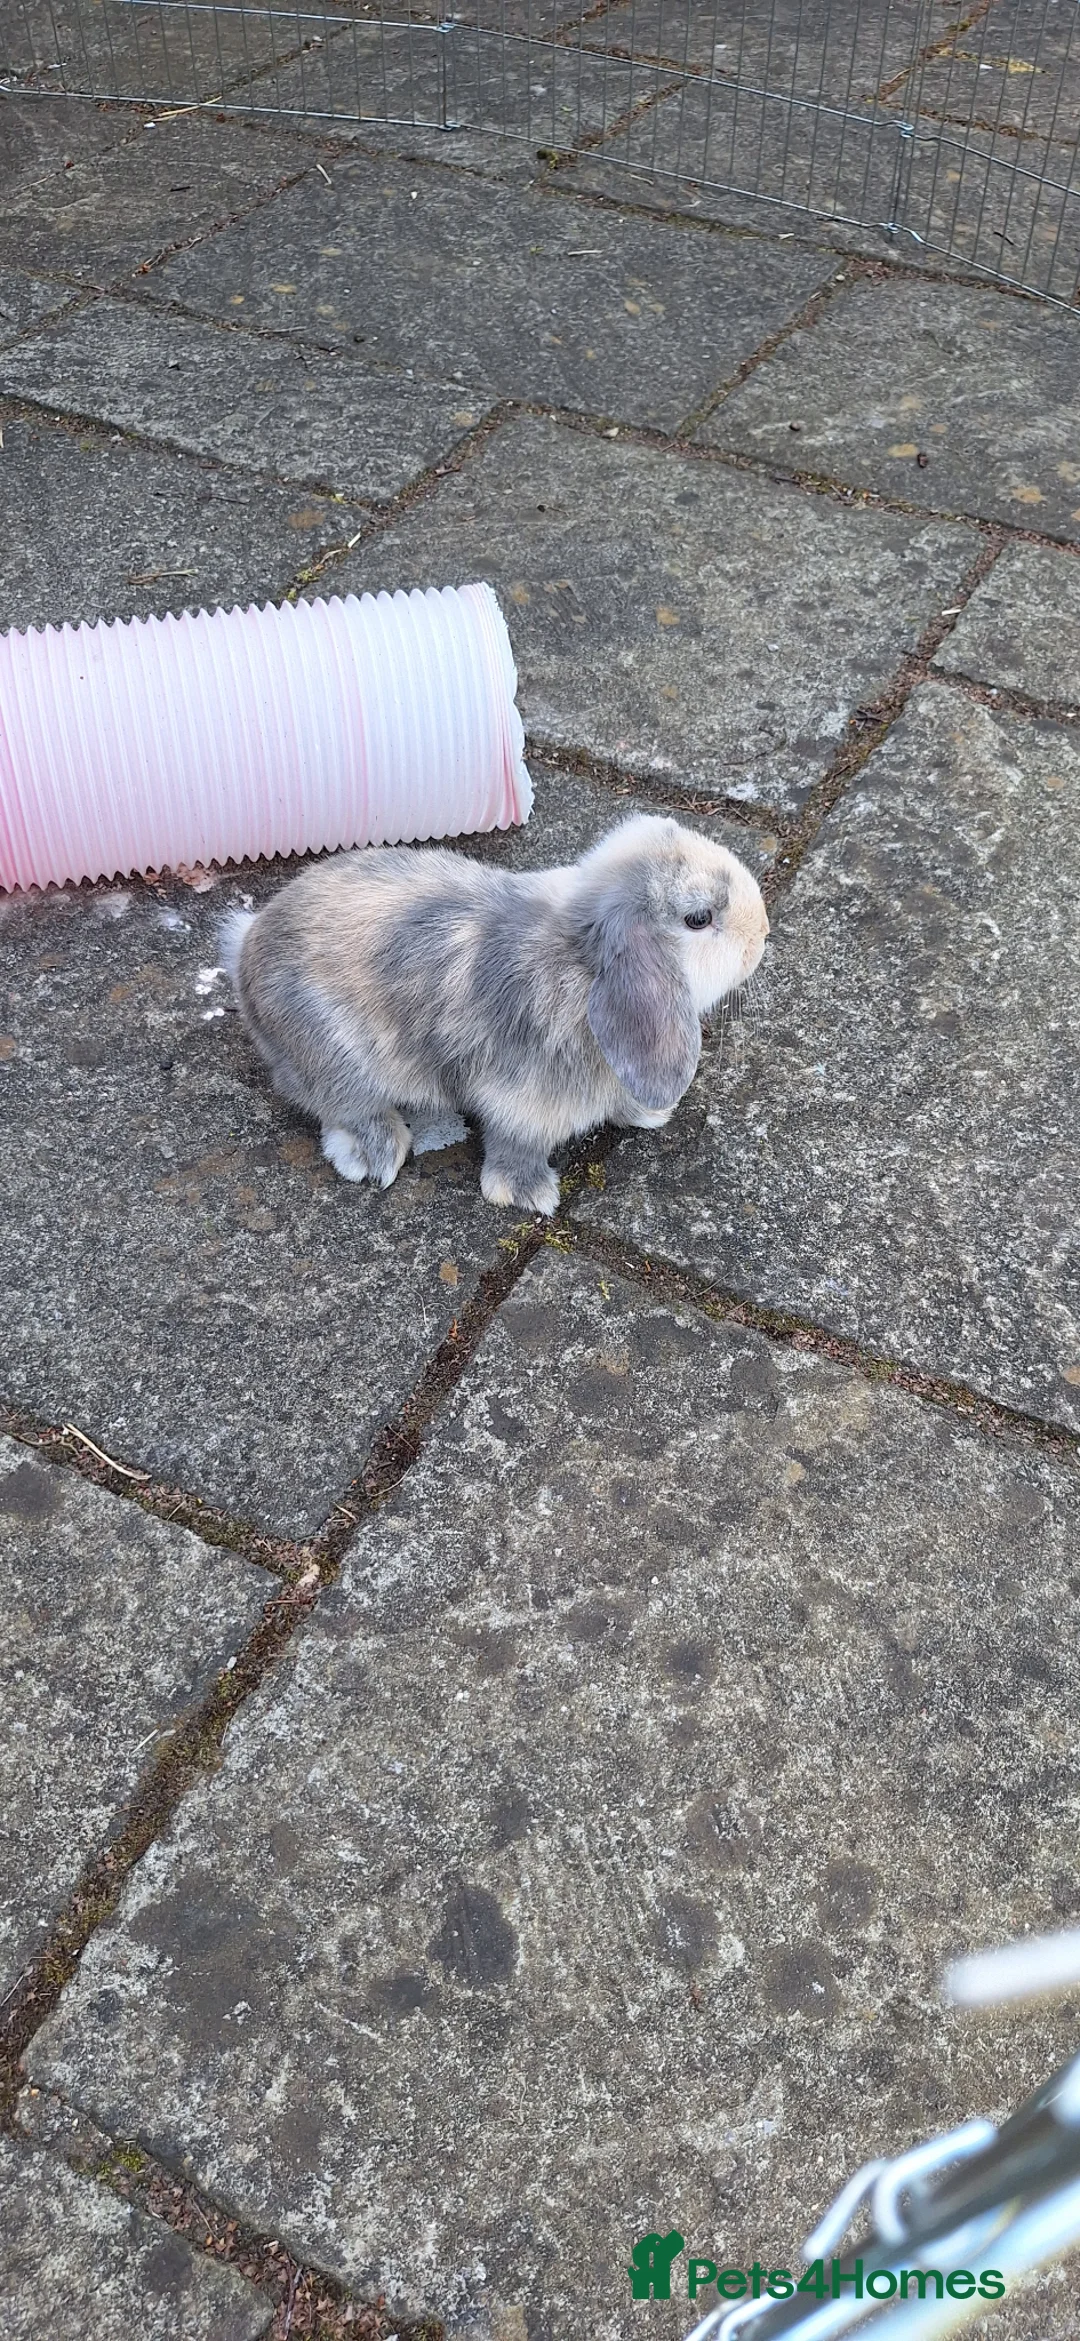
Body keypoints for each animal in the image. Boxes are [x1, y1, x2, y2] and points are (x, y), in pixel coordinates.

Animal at [221, 813, 769, 1217]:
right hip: (340, 1062)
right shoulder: (521, 1102)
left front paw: (649, 1113)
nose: (763, 934)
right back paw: (376, 1156)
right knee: (344, 1109)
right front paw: (530, 1195)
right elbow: (517, 1146)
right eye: (698, 919)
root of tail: (246, 951)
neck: (582, 962)